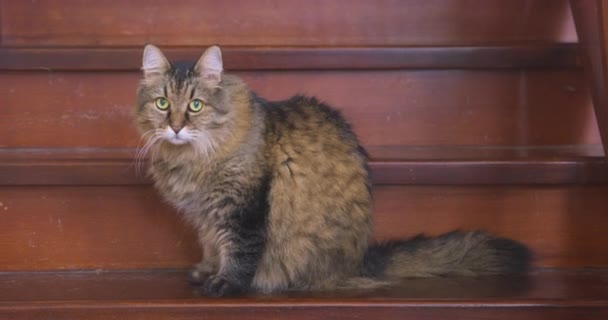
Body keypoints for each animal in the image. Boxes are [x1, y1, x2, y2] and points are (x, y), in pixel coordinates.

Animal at [133, 45, 528, 298]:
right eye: (163, 104)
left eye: (195, 106)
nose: (176, 127)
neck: (191, 160)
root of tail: (361, 262)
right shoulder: (206, 216)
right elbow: (213, 246)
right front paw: (207, 271)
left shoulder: (242, 207)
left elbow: (239, 251)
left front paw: (225, 285)